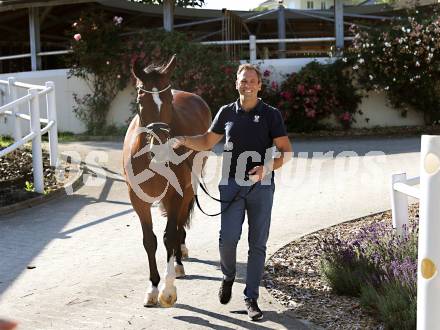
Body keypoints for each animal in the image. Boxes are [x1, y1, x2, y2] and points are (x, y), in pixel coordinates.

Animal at [123, 55, 212, 308]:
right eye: (140, 100)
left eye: (169, 100)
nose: (161, 147)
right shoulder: (138, 200)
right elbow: (150, 241)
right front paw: (153, 288)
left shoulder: (176, 194)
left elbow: (169, 236)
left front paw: (168, 290)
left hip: (190, 188)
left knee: (179, 223)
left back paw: (179, 262)